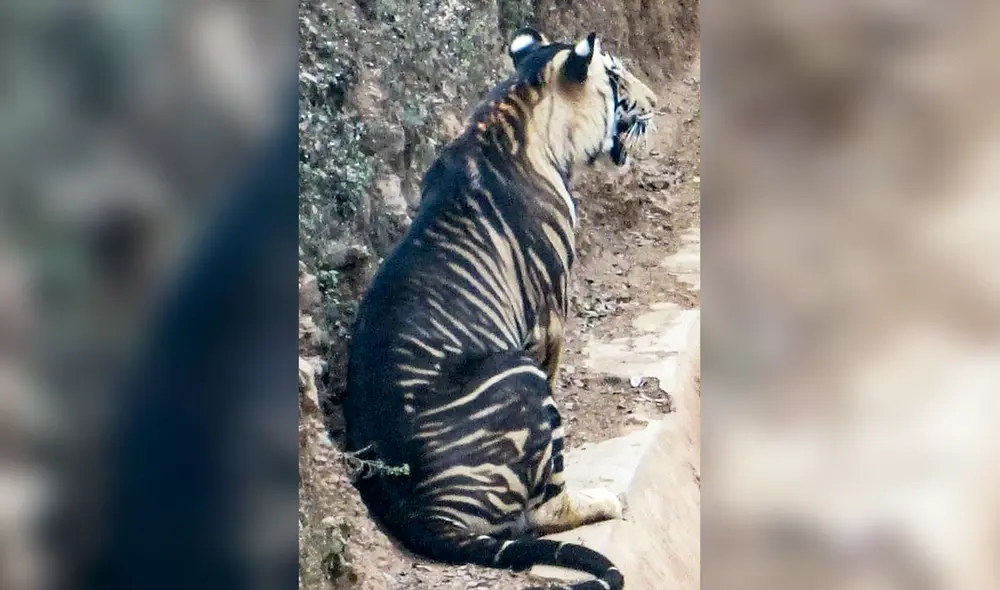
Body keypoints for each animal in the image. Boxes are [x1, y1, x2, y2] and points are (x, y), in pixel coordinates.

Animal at [343, 27, 658, 590]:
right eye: (618, 76)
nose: (656, 102)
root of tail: (415, 512)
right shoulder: (551, 315)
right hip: (518, 376)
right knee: (543, 509)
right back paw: (604, 500)